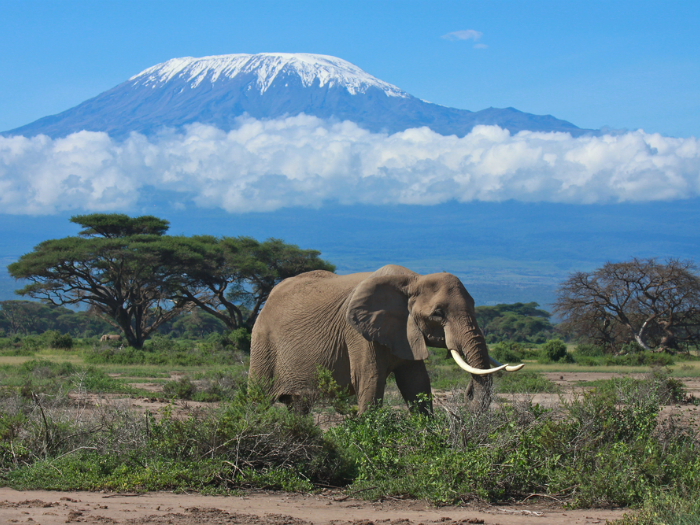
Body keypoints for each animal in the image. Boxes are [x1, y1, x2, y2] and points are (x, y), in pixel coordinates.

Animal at [249, 266, 524, 414]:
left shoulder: (405, 332)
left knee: (298, 406)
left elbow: (417, 384)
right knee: (258, 398)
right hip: (262, 342)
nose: (467, 394)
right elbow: (370, 381)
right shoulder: (357, 334)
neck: (413, 279)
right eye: (438, 313)